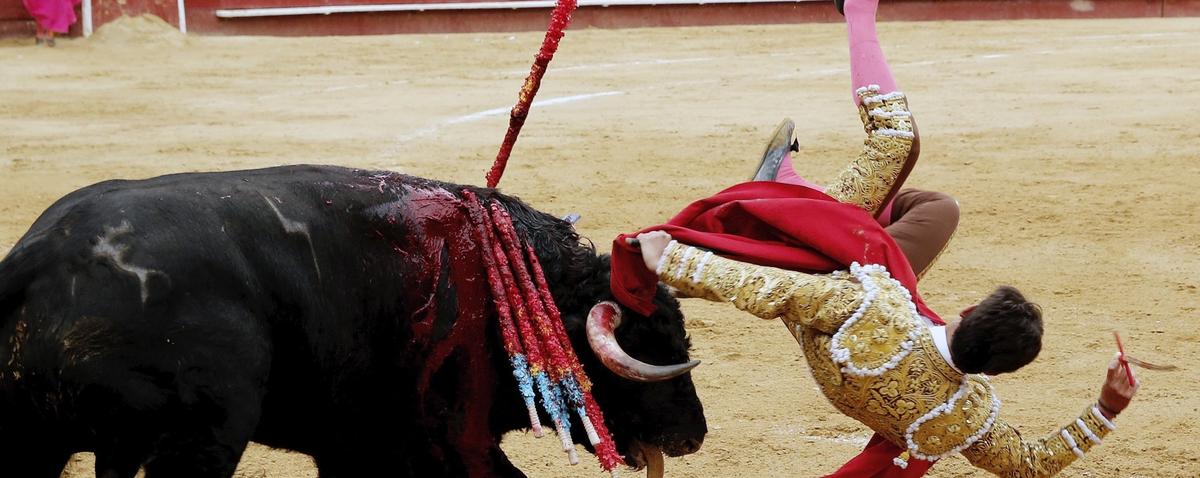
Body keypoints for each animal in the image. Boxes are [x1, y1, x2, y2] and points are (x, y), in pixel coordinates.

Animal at [0, 165, 706, 478]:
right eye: (649, 345)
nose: (693, 435)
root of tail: (41, 254)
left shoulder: (350, 444)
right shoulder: (447, 440)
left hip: (38, 439)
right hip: (198, 444)